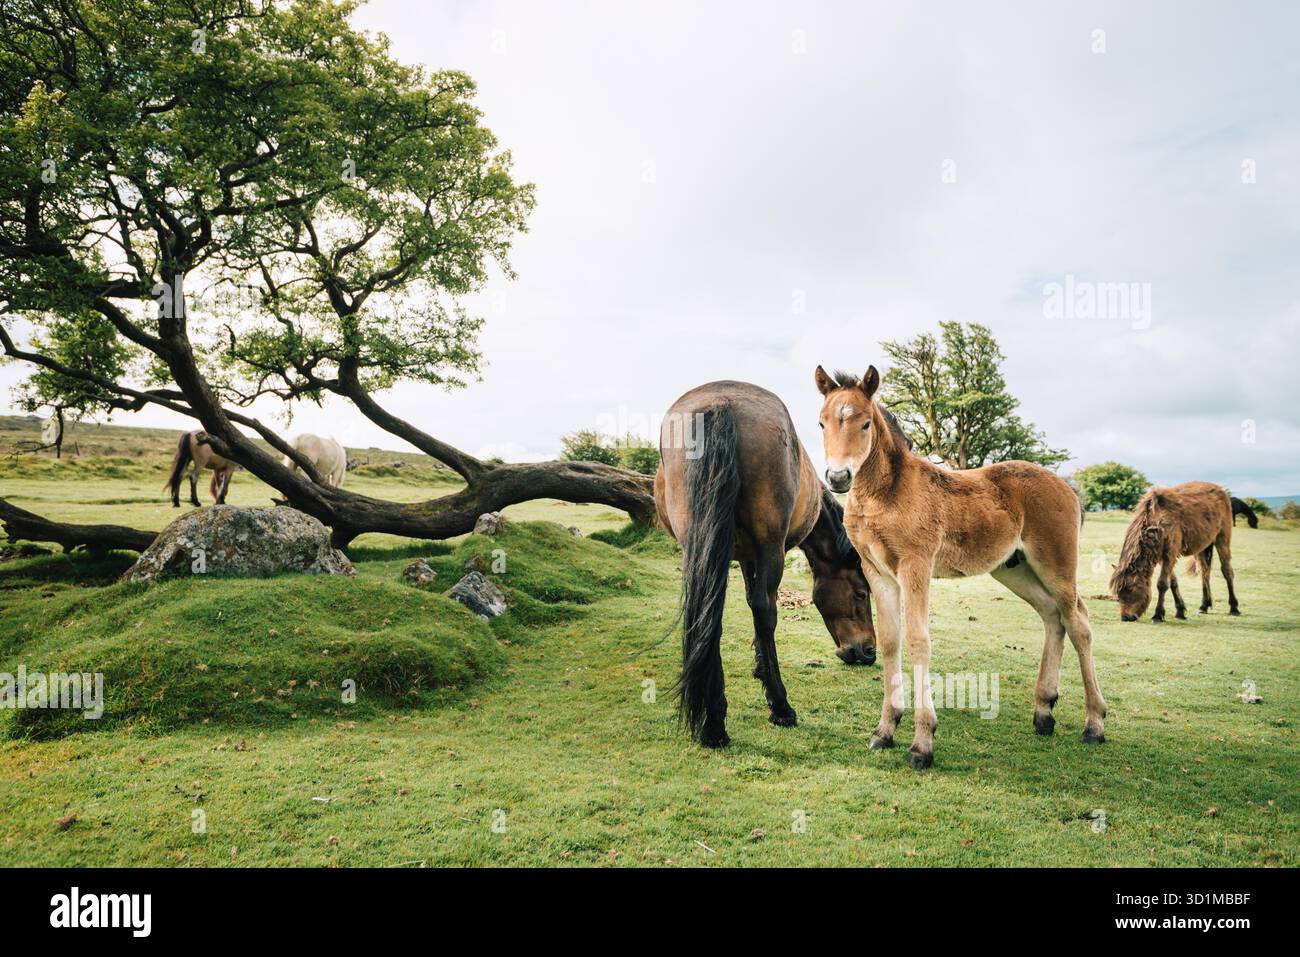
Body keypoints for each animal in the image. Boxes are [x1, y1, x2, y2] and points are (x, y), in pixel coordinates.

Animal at [655, 380, 878, 748]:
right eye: (861, 593)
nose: (869, 651)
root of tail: (719, 405)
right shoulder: (762, 553)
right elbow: (759, 609)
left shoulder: (745, 555)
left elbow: (745, 601)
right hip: (772, 548)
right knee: (764, 611)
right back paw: (779, 706)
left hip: (698, 546)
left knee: (709, 614)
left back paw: (713, 722)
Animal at [814, 365, 1106, 769]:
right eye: (822, 422)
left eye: (865, 424)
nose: (838, 477)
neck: (887, 493)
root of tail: (1067, 487)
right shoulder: (878, 572)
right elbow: (889, 641)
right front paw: (884, 731)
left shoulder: (915, 566)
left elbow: (918, 641)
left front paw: (922, 744)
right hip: (1013, 569)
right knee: (1052, 616)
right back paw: (1044, 712)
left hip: (1056, 564)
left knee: (1079, 622)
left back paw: (1094, 724)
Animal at [1110, 482, 1239, 622]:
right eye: (1118, 594)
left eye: (1130, 588)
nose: (1126, 617)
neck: (1157, 518)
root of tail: (1221, 490)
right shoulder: (1162, 555)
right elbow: (1172, 583)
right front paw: (1180, 611)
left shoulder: (1169, 553)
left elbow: (1162, 584)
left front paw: (1158, 615)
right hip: (1201, 547)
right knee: (1204, 572)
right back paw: (1204, 605)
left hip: (1222, 539)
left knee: (1227, 571)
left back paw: (1234, 607)